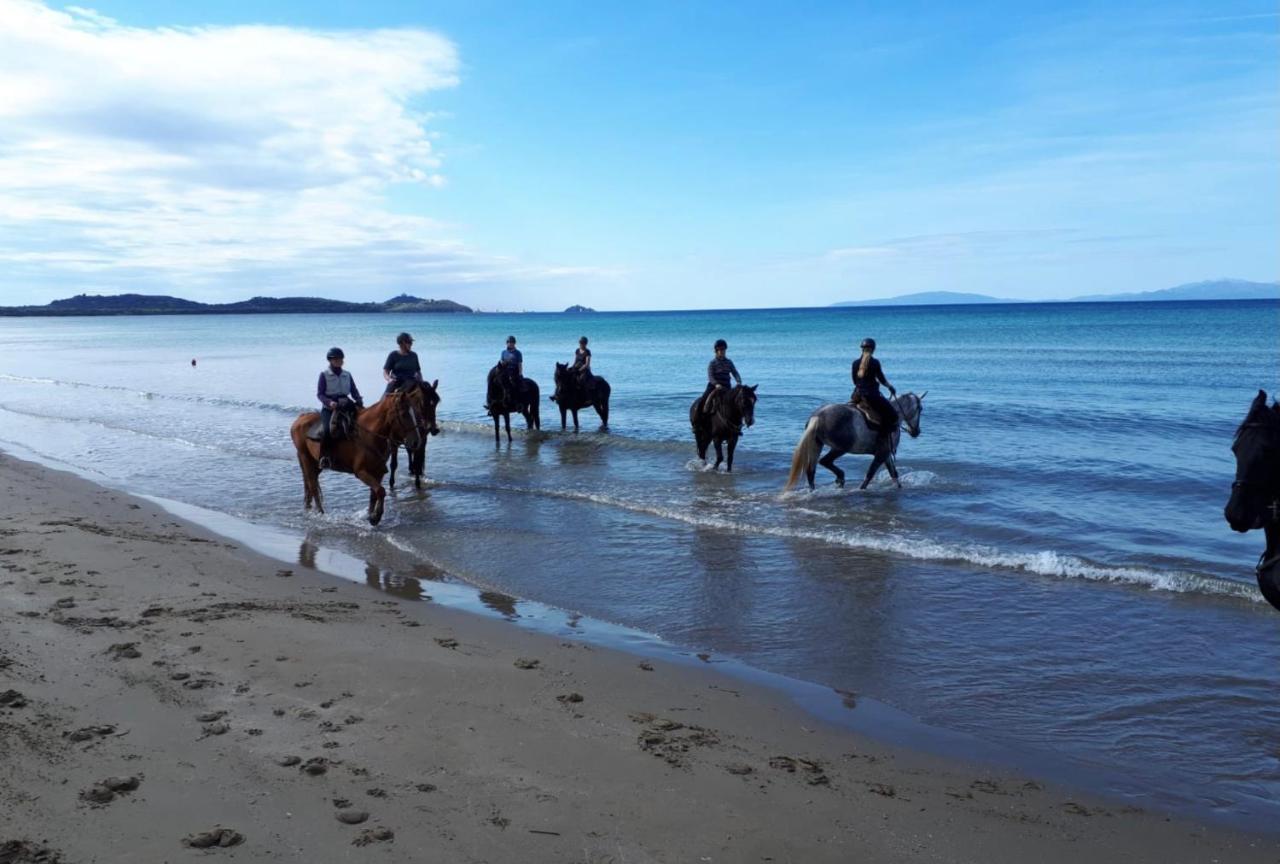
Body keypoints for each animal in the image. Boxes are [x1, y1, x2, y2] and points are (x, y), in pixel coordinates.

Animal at [288, 386, 432, 527]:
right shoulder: (361, 472)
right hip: (305, 458)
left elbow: (374, 493)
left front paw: (370, 515)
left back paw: (308, 509)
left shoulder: (378, 472)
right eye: (403, 414)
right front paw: (375, 517)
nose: (416, 442)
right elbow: (381, 491)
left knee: (309, 485)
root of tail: (298, 420)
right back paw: (320, 513)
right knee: (313, 486)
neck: (369, 434)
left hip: (315, 463)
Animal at [783, 394, 926, 494]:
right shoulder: (881, 454)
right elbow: (870, 475)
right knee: (824, 461)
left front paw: (899, 488)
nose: (916, 431)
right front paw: (861, 489)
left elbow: (894, 474)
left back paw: (815, 490)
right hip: (840, 448)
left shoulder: (885, 455)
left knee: (811, 471)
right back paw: (840, 477)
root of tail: (817, 417)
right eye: (920, 409)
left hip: (817, 445)